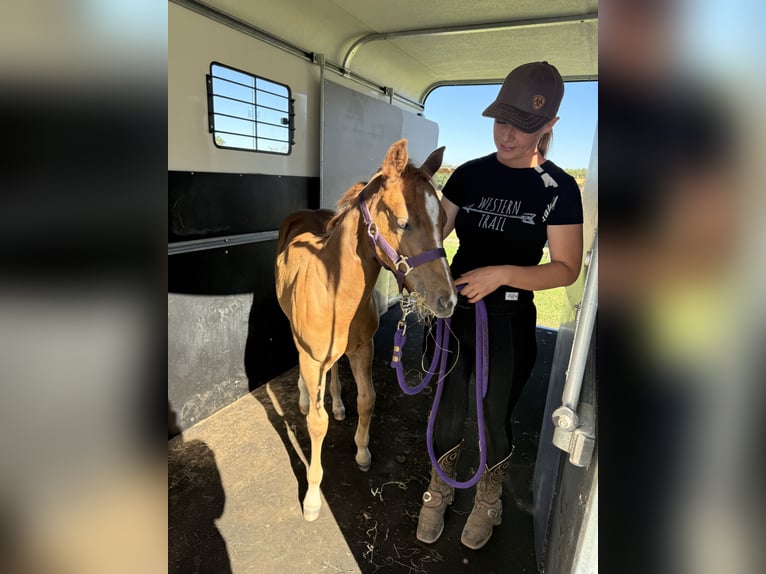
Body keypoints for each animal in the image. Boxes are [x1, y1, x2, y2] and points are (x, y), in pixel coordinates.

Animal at [275, 139, 457, 521]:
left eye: (443, 220)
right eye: (403, 223)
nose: (447, 300)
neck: (334, 290)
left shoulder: (363, 348)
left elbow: (367, 400)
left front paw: (361, 453)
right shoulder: (312, 357)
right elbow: (317, 424)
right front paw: (312, 499)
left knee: (335, 373)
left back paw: (337, 403)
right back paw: (304, 398)